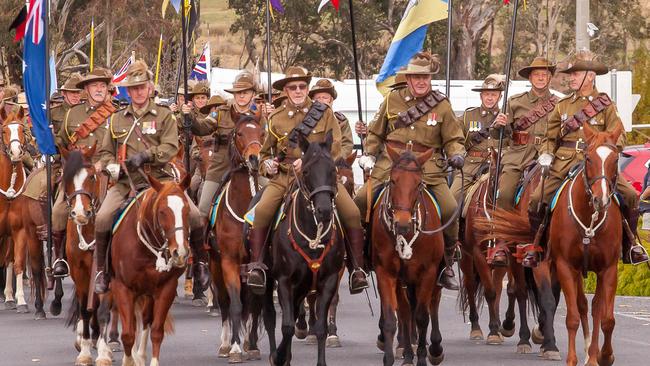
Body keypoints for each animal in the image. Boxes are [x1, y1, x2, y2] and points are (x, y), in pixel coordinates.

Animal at [107, 172, 190, 366]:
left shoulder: (165, 289)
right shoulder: (122, 287)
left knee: (144, 320)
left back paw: (140, 356)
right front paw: (128, 361)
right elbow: (128, 334)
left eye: (187, 210)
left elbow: (156, 331)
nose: (180, 252)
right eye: (162, 212)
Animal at [264, 132, 344, 366]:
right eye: (306, 171)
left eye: (333, 170)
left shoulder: (329, 281)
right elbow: (286, 327)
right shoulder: (283, 281)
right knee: (270, 317)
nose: (324, 210)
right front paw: (278, 356)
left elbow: (320, 328)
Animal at [370, 142, 446, 366]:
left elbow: (422, 317)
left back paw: (435, 349)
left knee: (433, 303)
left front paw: (421, 357)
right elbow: (391, 317)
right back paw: (407, 351)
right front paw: (391, 358)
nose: (401, 224)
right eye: (393, 180)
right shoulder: (386, 272)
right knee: (405, 310)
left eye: (419, 183)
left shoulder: (428, 272)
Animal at [480, 123, 624, 366]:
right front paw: (558, 350)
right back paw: (523, 338)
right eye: (589, 158)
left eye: (615, 158)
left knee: (589, 306)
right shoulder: (562, 265)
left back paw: (589, 351)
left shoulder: (608, 269)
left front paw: (603, 356)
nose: (600, 200)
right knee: (521, 292)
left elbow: (606, 317)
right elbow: (560, 309)